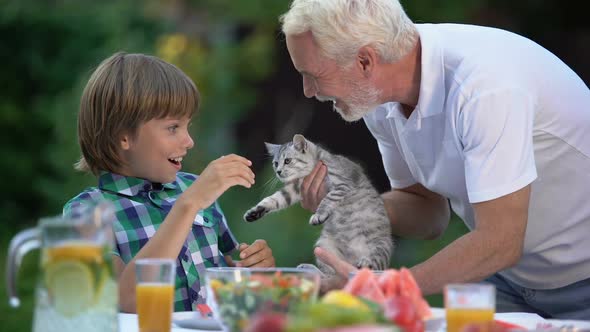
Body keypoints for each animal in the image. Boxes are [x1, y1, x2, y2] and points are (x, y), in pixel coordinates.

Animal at [243, 134, 396, 278]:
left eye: (287, 161)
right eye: (275, 163)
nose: (278, 172)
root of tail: (351, 259)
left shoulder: (342, 184)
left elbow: (327, 200)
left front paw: (319, 215)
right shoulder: (294, 189)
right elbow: (274, 199)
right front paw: (255, 212)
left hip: (380, 247)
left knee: (373, 265)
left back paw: (365, 263)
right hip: (324, 245)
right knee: (329, 275)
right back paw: (309, 269)